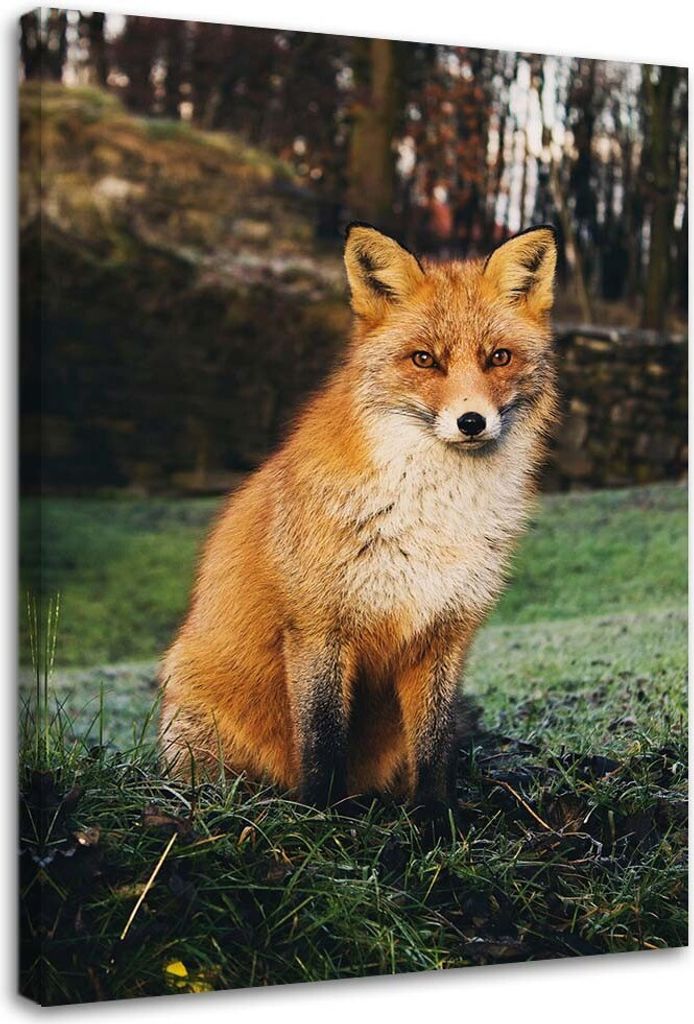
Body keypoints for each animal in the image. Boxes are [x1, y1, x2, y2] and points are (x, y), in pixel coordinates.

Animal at [159, 222, 559, 816]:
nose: (471, 422)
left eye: (499, 357)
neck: (432, 517)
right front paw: (322, 818)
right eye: (424, 360)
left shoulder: (445, 634)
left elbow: (434, 748)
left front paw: (436, 822)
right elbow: (323, 741)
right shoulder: (318, 627)